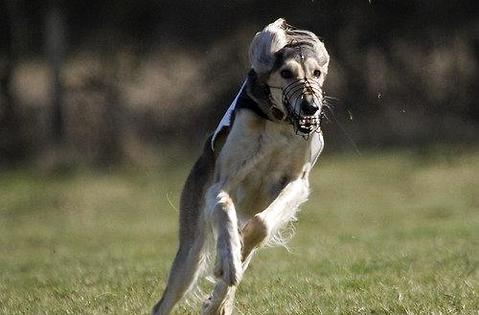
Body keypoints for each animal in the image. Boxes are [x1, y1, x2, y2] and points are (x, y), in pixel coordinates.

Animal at [153, 18, 330, 314]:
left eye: (316, 73)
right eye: (286, 73)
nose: (310, 107)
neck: (278, 122)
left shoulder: (297, 181)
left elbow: (260, 226)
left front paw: (237, 254)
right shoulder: (220, 185)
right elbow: (225, 210)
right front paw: (228, 261)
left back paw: (218, 298)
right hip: (190, 251)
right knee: (164, 301)